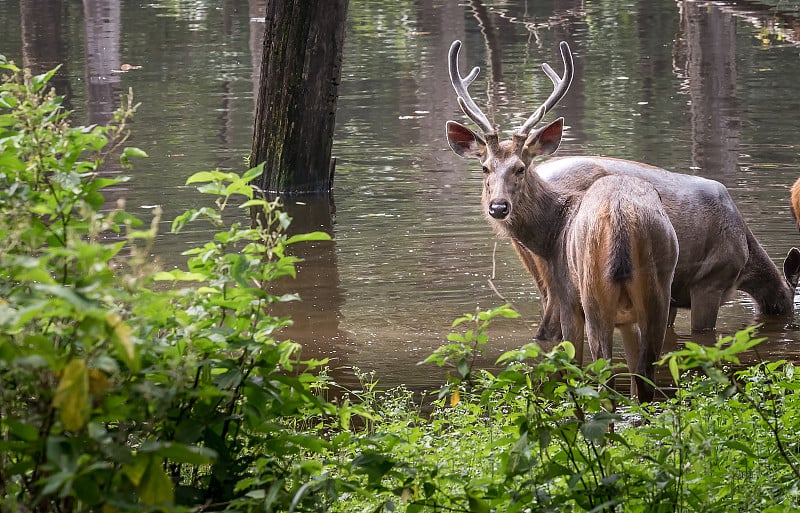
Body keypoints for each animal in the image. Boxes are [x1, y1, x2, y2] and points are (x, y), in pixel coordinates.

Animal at [444, 40, 800, 380]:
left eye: (519, 168)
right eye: (485, 168)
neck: (745, 256)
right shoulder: (709, 283)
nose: (498, 206)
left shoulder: (670, 296)